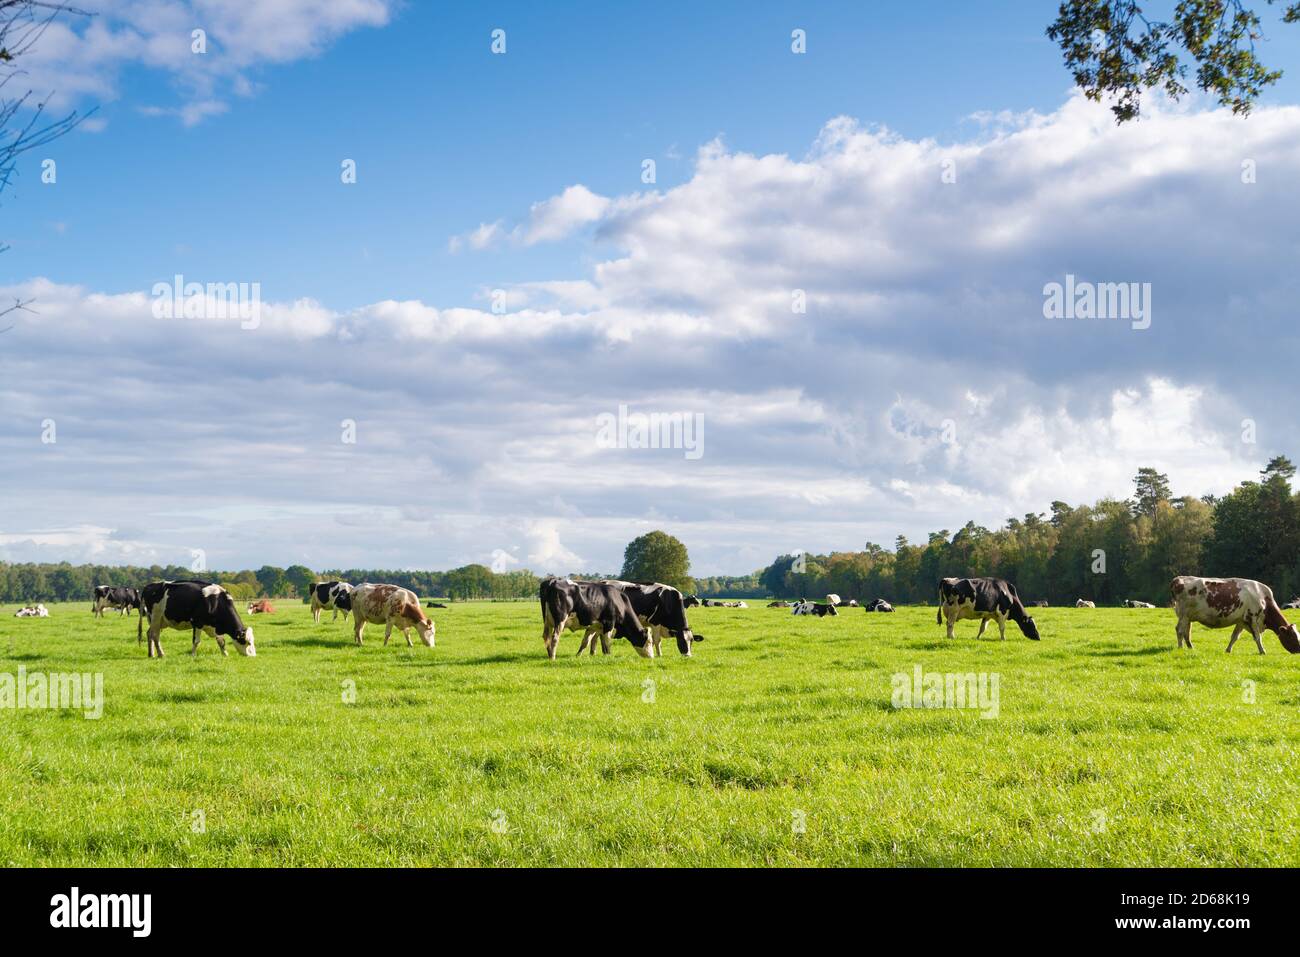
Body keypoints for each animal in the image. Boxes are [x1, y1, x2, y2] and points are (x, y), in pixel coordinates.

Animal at [1170, 576, 1300, 654]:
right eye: (1292, 636)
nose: (1298, 650)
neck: (1264, 600)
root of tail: (1179, 579)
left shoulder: (1241, 621)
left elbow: (1234, 637)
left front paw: (1228, 650)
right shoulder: (1253, 618)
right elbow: (1258, 637)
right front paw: (1262, 651)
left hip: (1188, 617)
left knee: (1186, 632)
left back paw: (1190, 647)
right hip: (1184, 615)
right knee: (1179, 630)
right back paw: (1180, 648)